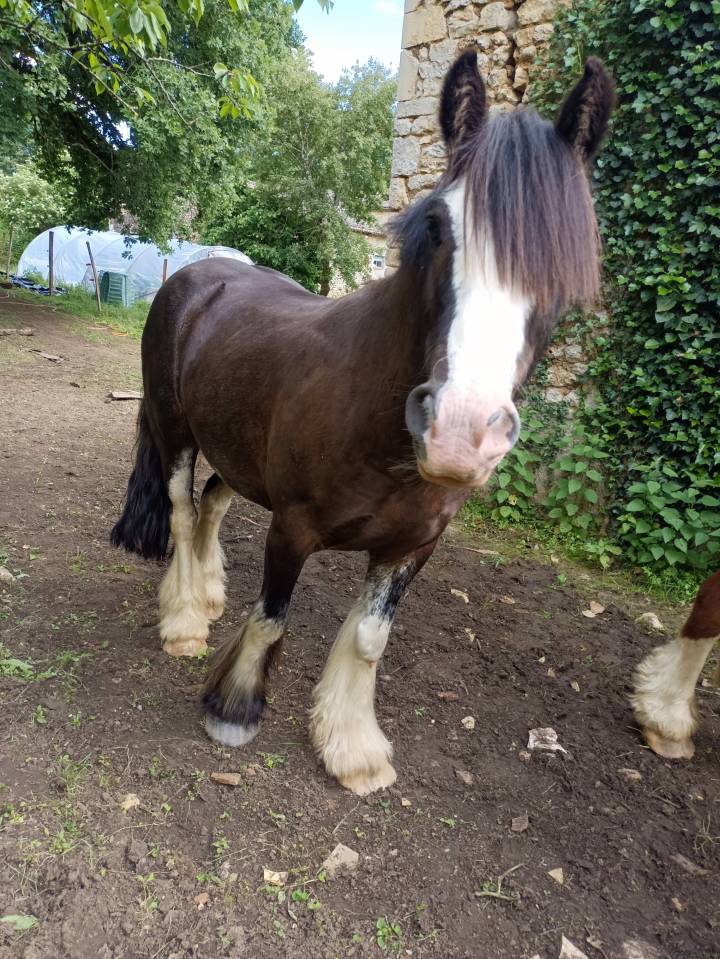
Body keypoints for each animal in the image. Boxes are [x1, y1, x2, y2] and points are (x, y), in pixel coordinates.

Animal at [111, 50, 615, 796]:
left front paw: (352, 747)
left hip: (237, 447)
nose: (461, 431)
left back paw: (206, 593)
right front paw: (234, 708)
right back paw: (183, 619)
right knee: (179, 507)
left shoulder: (412, 547)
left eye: (566, 256)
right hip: (175, 432)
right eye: (437, 226)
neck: (381, 436)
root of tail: (197, 276)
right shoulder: (293, 527)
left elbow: (369, 638)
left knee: (212, 501)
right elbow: (272, 615)